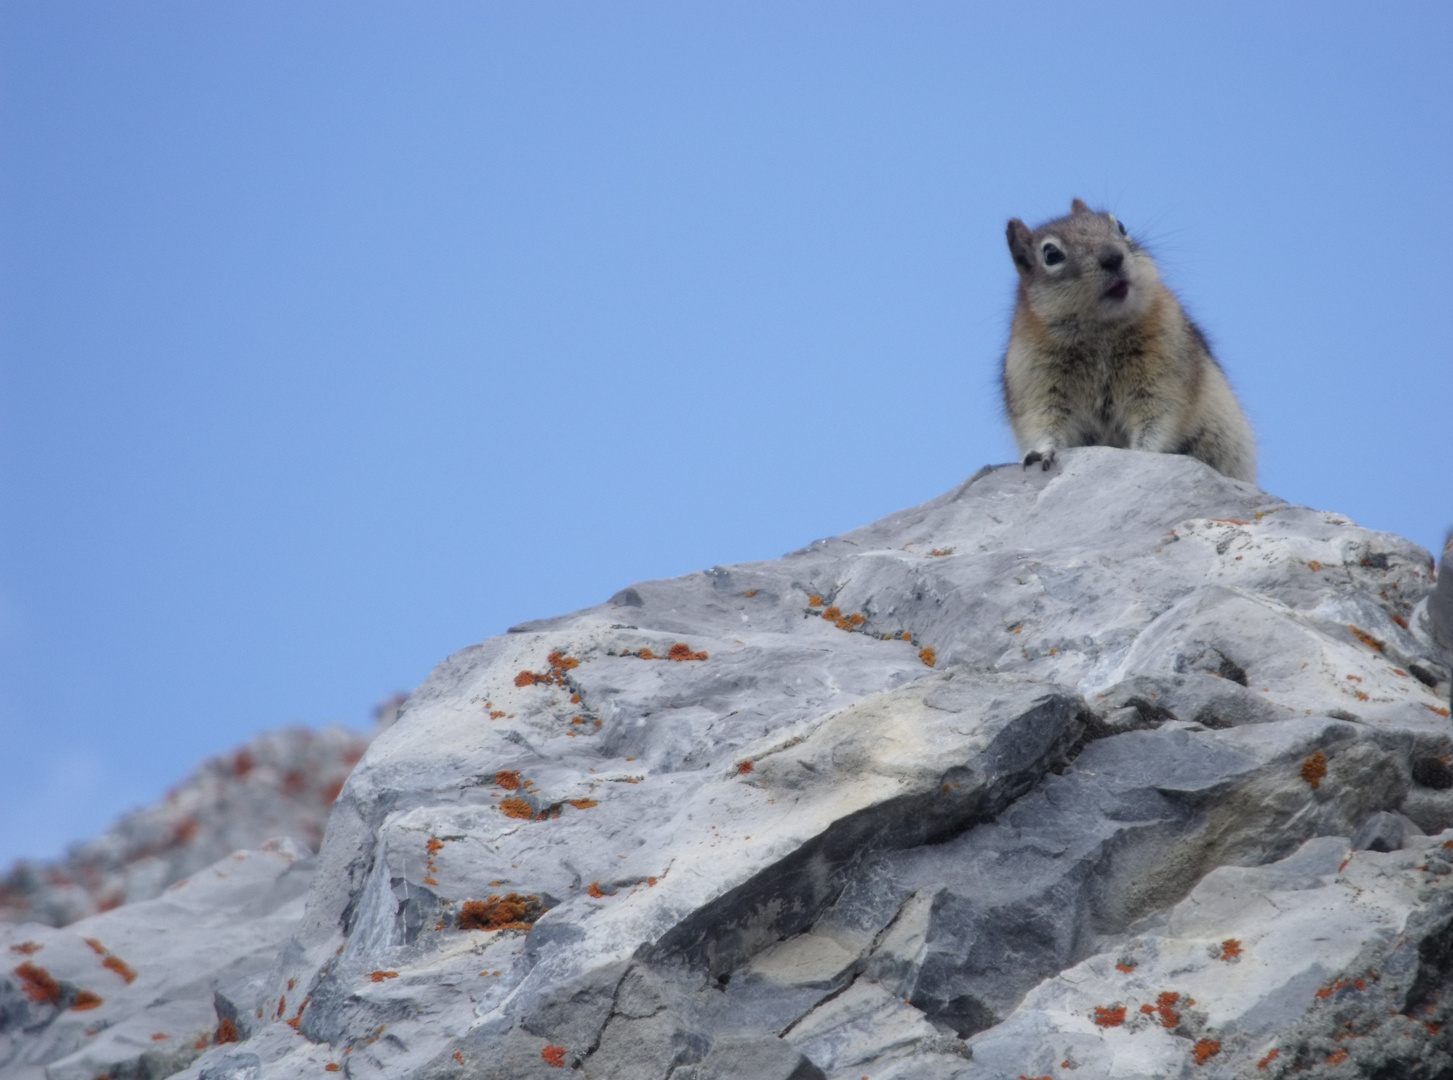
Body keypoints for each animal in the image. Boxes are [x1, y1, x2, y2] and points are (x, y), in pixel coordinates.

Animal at [1005, 197, 1255, 482]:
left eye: (1121, 226)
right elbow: (1044, 423)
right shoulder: (1037, 383)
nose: (1113, 257)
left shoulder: (1162, 369)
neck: (1100, 329)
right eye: (1051, 254)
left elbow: (1158, 417)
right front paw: (1042, 452)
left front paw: (1142, 453)